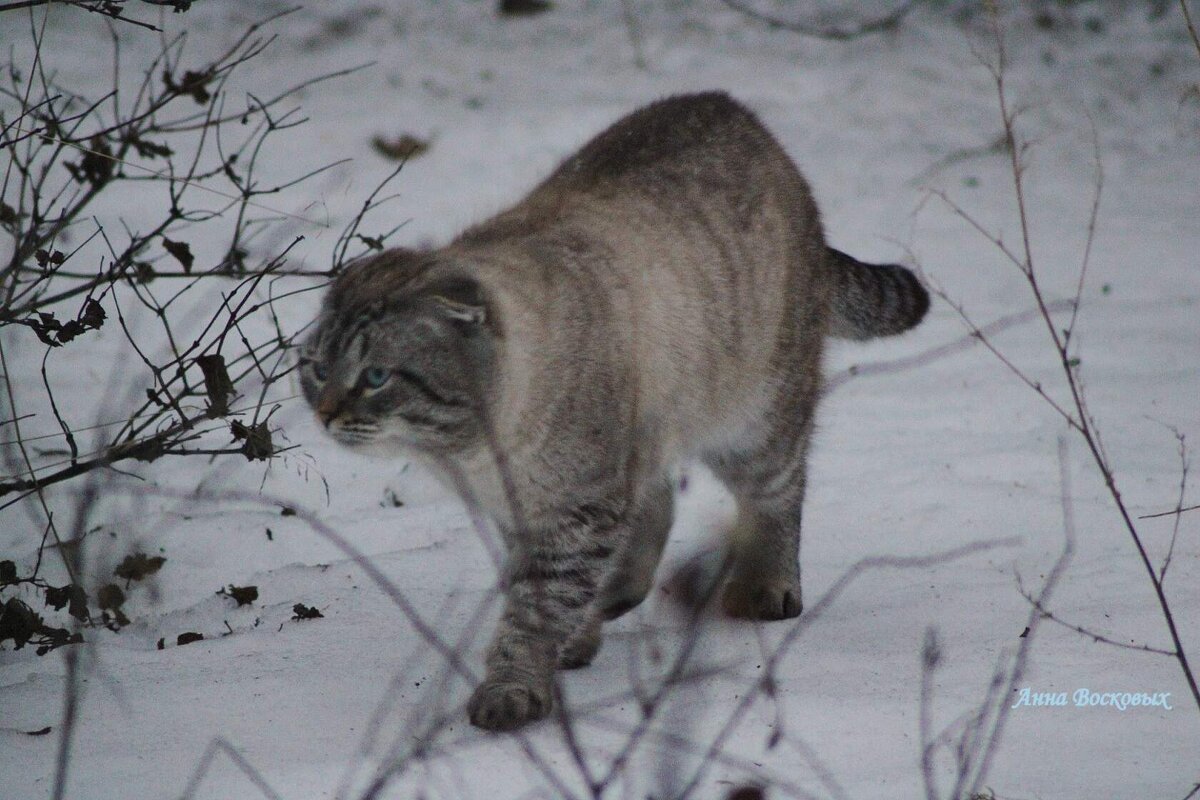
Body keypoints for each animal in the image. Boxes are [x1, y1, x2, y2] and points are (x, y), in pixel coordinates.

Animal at [300, 92, 926, 734]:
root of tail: (741, 114)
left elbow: (531, 616)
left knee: (777, 491)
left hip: (753, 423)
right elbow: (547, 593)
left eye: (376, 377)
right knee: (658, 507)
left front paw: (513, 688)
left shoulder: (575, 514)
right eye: (317, 369)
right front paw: (571, 641)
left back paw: (766, 586)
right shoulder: (528, 515)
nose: (324, 414)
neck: (475, 452)